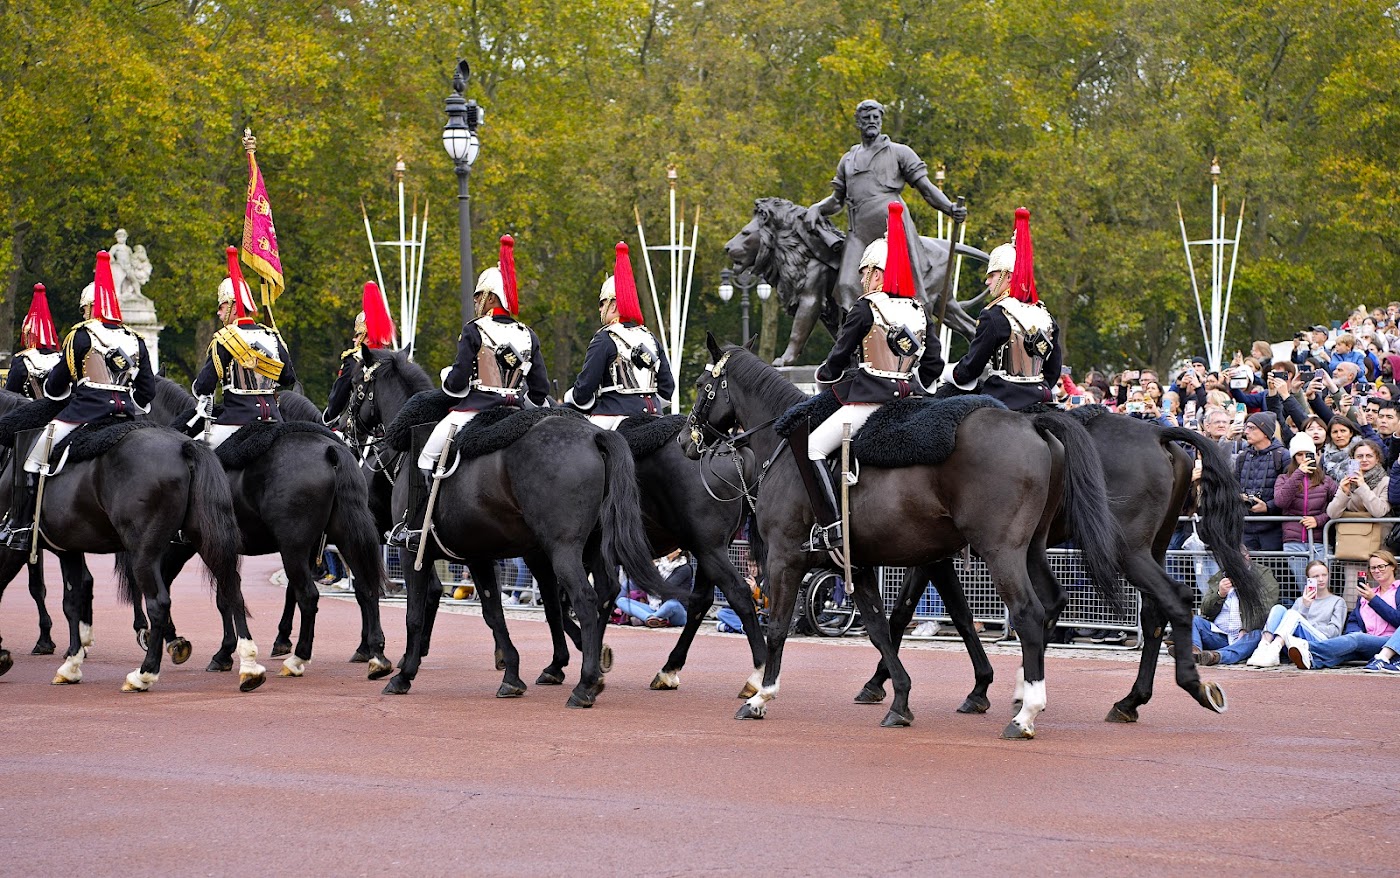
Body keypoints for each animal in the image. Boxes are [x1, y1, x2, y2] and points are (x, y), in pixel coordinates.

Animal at [145, 378, 394, 680]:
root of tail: (331, 451)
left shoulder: (191, 544)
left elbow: (219, 594)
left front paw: (212, 650)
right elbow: (233, 593)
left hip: (293, 545)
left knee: (310, 594)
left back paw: (298, 659)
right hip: (345, 535)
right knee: (367, 587)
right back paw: (376, 655)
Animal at [683, 340, 1120, 739]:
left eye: (703, 383)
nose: (688, 441)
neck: (786, 450)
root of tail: (1031, 424)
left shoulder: (785, 558)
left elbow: (777, 626)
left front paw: (761, 695)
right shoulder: (859, 563)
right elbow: (883, 626)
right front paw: (901, 699)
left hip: (1002, 552)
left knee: (1028, 613)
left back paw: (1026, 713)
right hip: (1030, 549)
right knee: (1052, 602)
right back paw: (1025, 691)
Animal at [856, 408, 1265, 722]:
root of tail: (1157, 431)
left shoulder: (931, 556)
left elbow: (906, 614)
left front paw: (880, 683)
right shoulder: (935, 555)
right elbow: (947, 613)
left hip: (1126, 550)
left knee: (1170, 600)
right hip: (1152, 547)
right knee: (1153, 612)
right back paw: (1129, 700)